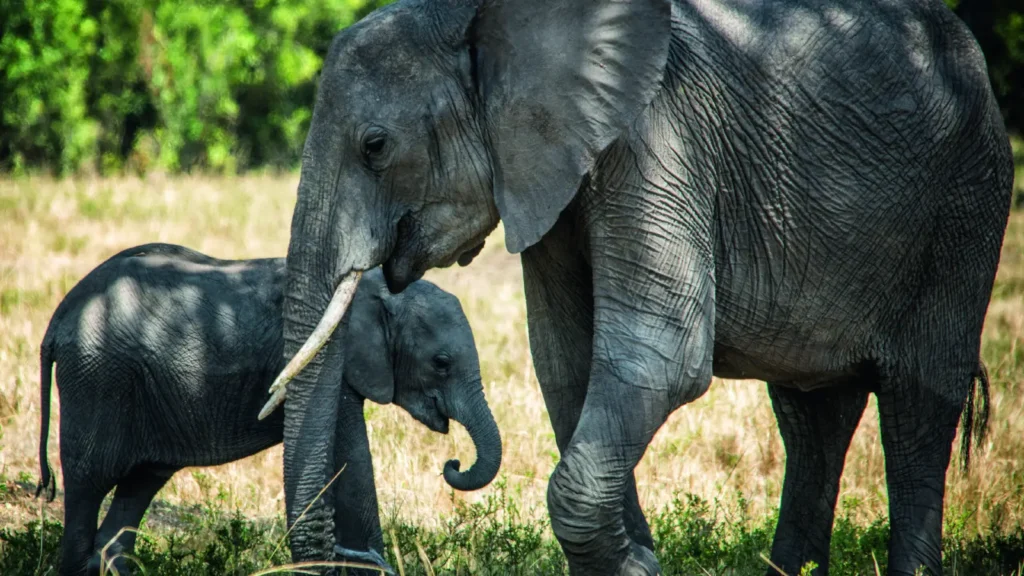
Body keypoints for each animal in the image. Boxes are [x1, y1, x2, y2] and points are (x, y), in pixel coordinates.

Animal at [36, 242, 501, 576]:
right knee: (89, 480)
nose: (452, 463)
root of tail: (60, 314)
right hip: (97, 378)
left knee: (139, 484)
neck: (373, 287)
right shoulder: (326, 363)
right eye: (441, 363)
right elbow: (351, 461)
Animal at [259, 0, 1014, 574]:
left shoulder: (660, 139)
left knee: (920, 399)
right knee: (811, 412)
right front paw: (637, 560)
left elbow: (659, 358)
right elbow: (570, 365)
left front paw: (635, 566)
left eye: (376, 146)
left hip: (968, 197)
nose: (450, 466)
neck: (486, 19)